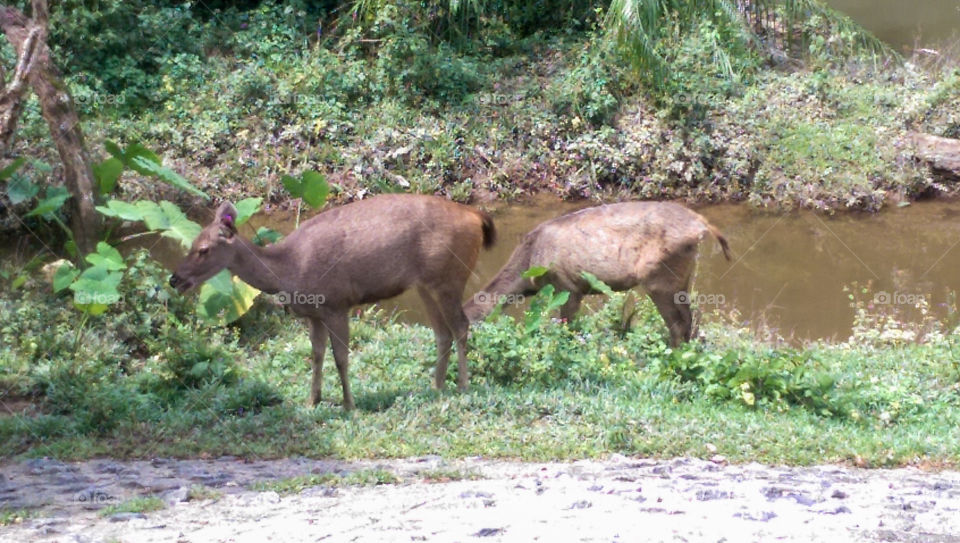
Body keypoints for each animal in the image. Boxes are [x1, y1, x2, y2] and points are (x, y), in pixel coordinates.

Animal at [169, 194, 496, 410]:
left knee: (461, 325)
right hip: (426, 284)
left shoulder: (336, 303)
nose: (175, 279)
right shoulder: (313, 313)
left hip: (449, 276)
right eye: (191, 241)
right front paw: (312, 401)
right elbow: (317, 355)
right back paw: (435, 387)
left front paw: (349, 405)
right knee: (442, 332)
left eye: (204, 249)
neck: (288, 270)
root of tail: (477, 216)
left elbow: (341, 358)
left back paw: (462, 387)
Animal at [463, 201, 731, 346]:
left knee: (677, 322)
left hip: (659, 276)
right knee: (690, 317)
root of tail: (702, 224)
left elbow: (568, 326)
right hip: (683, 276)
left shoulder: (567, 286)